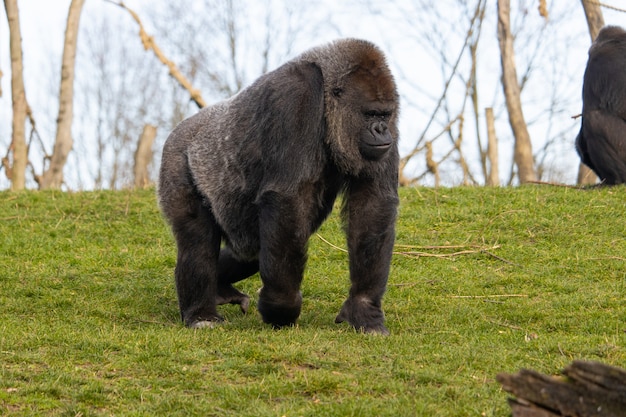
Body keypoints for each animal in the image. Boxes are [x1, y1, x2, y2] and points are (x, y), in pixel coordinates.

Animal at [158, 37, 398, 334]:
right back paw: (201, 314)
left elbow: (372, 205)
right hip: (177, 157)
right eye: (370, 114)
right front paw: (281, 307)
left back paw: (220, 289)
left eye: (385, 115)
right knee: (198, 242)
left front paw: (363, 308)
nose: (381, 130)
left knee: (251, 250)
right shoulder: (296, 94)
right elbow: (288, 196)